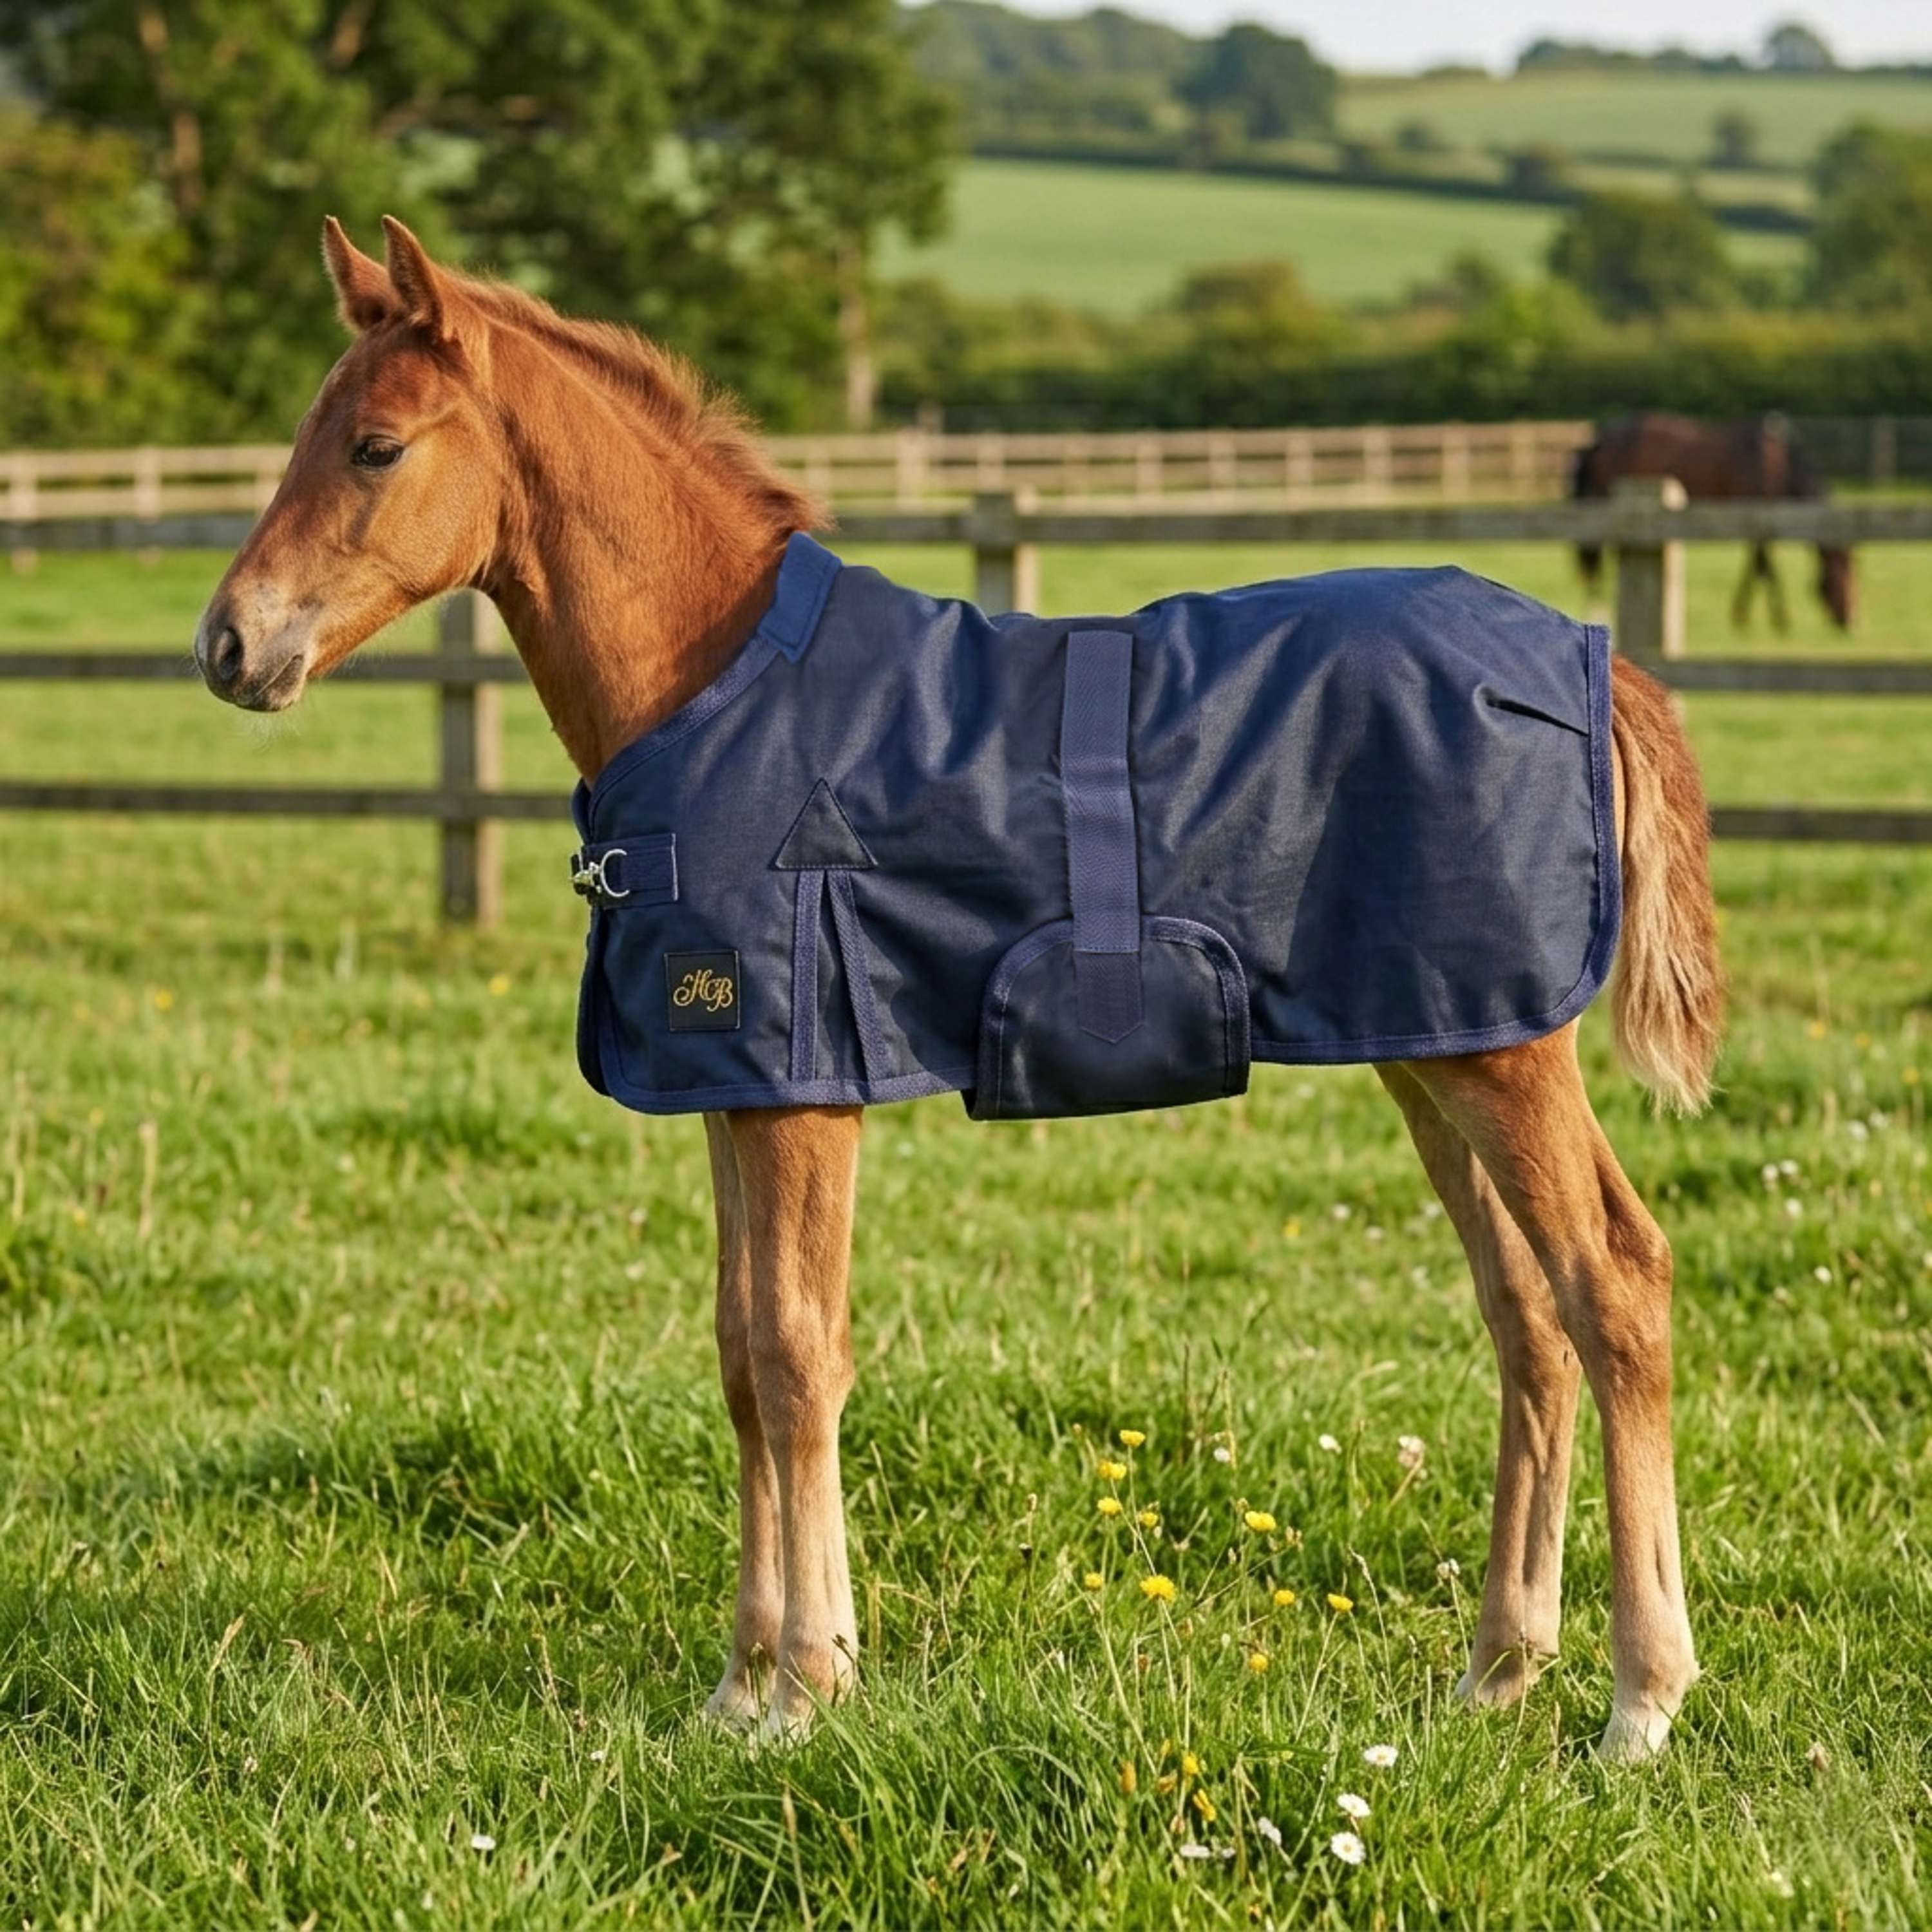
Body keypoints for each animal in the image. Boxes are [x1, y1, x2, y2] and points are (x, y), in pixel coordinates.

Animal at [193, 218, 1724, 1761]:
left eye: (376, 447)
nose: (228, 647)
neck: (719, 686)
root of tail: (1587, 661)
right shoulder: (732, 1081)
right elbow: (739, 1356)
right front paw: (736, 1690)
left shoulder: (808, 1090)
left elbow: (798, 1355)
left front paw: (808, 1684)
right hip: (1435, 1040)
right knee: (1525, 1315)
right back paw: (1498, 1671)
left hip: (1503, 1052)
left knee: (1614, 1282)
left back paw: (1640, 1703)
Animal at [1571, 411, 1855, 631]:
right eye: (1843, 574)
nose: (1848, 621)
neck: (1776, 466)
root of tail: (1601, 440)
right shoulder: (1757, 519)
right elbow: (1763, 568)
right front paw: (1772, 619)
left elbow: (1758, 567)